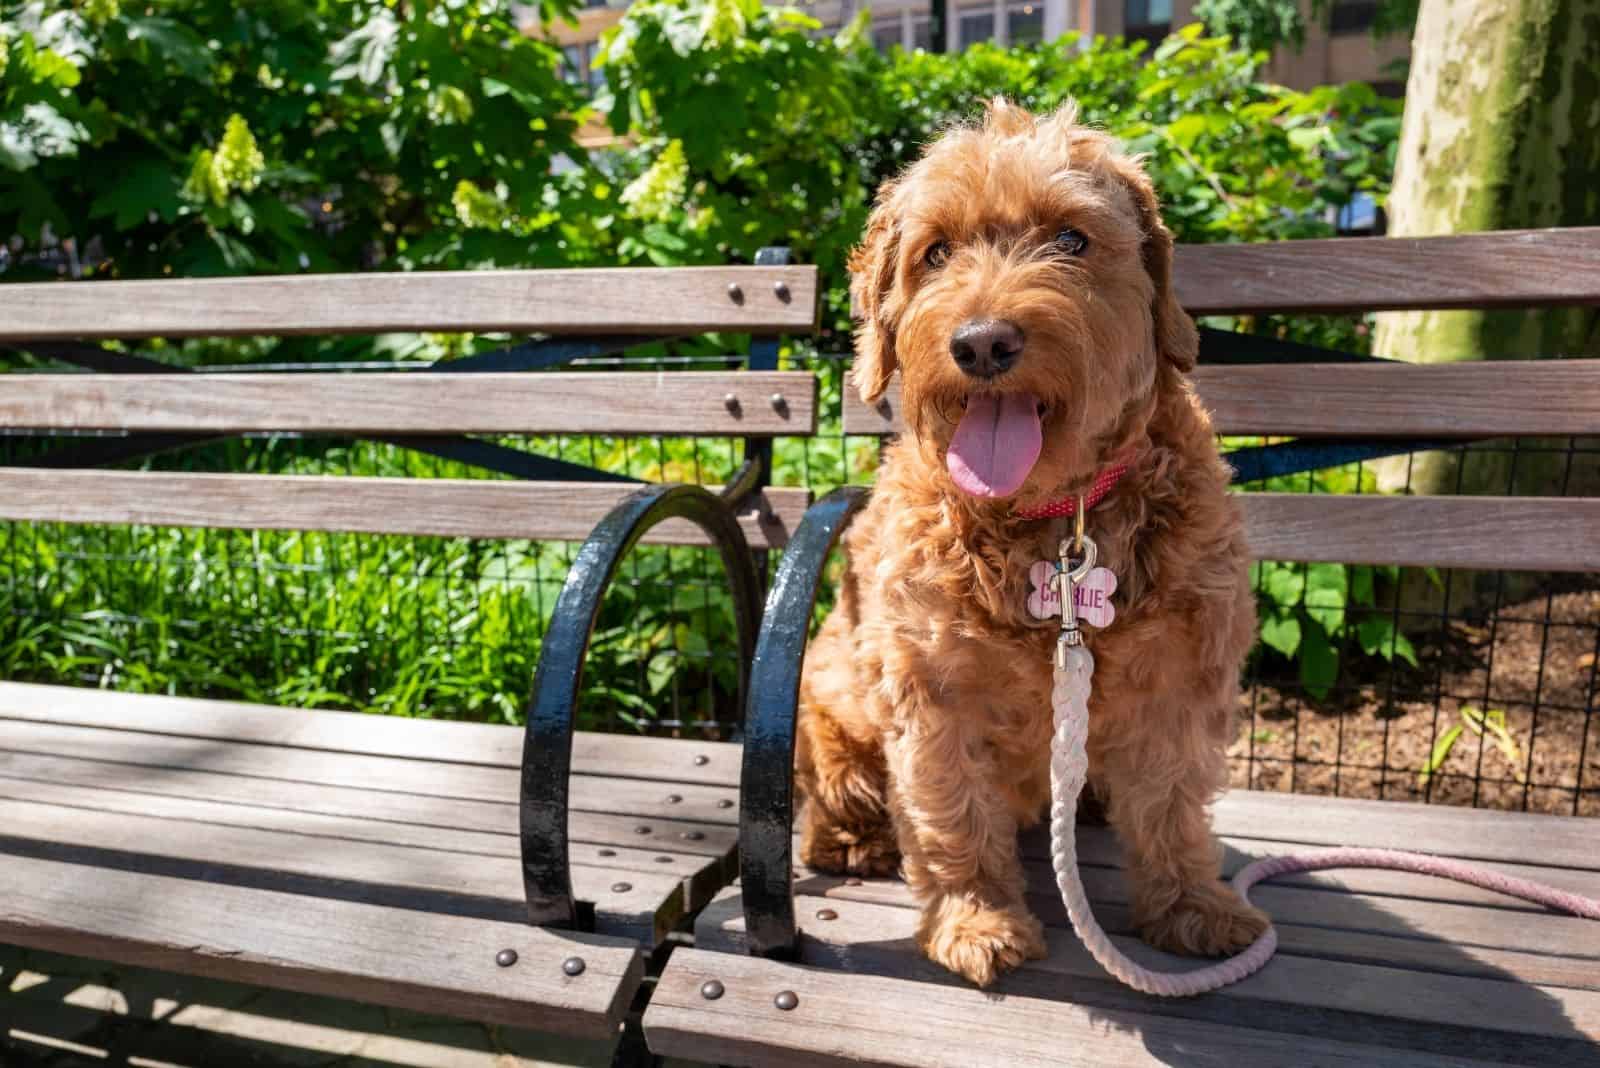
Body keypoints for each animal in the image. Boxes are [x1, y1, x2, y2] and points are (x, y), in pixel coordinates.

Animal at [793, 97, 1267, 984]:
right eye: (935, 251)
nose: (982, 343)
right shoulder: (931, 694)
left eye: (1072, 239)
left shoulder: (1180, 678)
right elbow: (951, 817)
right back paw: (854, 841)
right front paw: (978, 920)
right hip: (828, 701)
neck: (1053, 524)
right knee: (837, 798)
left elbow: (1173, 803)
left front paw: (1192, 906)